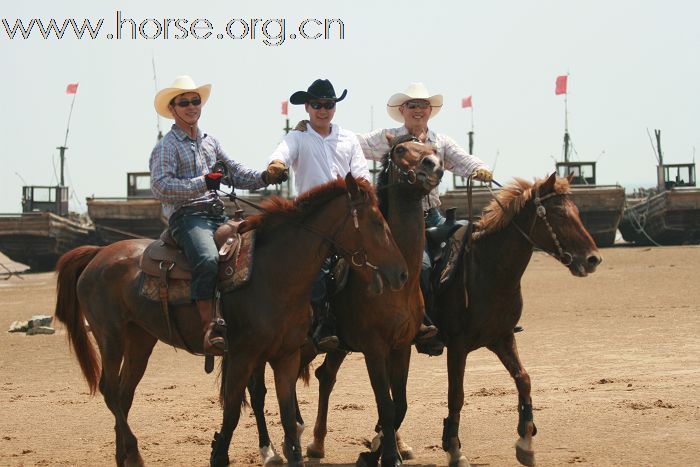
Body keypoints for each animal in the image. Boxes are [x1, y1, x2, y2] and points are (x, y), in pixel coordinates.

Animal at [56, 176, 410, 467]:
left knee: (124, 393)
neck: (275, 274)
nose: (402, 274)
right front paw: (219, 453)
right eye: (376, 221)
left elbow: (288, 420)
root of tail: (98, 254)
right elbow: (230, 415)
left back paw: (126, 457)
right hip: (110, 334)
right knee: (109, 390)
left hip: (140, 338)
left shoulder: (286, 356)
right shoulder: (242, 355)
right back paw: (133, 451)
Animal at [243, 133, 446, 466]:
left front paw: (376, 447)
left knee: (318, 377)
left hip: (317, 346)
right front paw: (387, 454)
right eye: (401, 149)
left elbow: (399, 403)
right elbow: (386, 403)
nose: (434, 165)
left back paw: (308, 440)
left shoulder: (401, 346)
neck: (394, 284)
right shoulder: (374, 348)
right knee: (258, 391)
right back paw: (270, 450)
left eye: (432, 149)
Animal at [438, 173, 600, 467]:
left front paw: (526, 439)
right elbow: (456, 395)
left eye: (576, 211)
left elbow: (523, 379)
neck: (488, 272)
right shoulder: (457, 346)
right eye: (559, 214)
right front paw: (454, 449)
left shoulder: (502, 337)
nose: (593, 259)